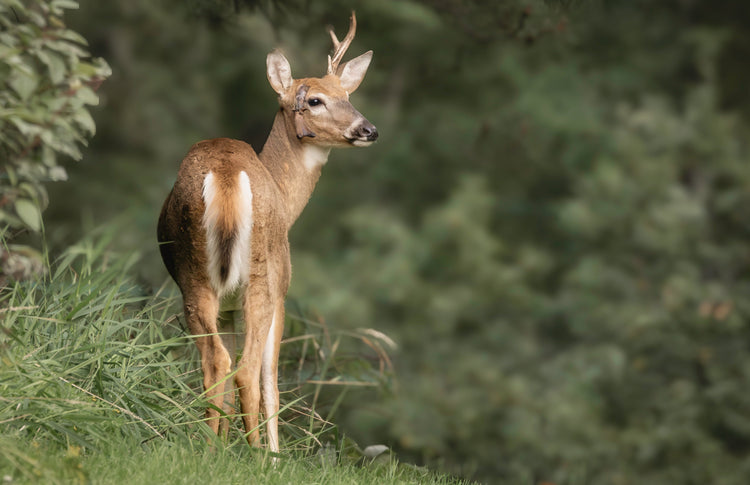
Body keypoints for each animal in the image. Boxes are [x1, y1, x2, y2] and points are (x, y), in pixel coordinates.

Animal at [156, 12, 377, 455]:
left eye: (348, 94)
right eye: (315, 100)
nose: (369, 129)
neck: (285, 198)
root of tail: (225, 174)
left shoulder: (226, 306)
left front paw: (225, 444)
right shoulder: (282, 291)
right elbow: (271, 379)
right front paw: (274, 455)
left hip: (195, 277)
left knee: (216, 363)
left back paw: (211, 447)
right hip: (260, 275)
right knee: (245, 369)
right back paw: (256, 454)